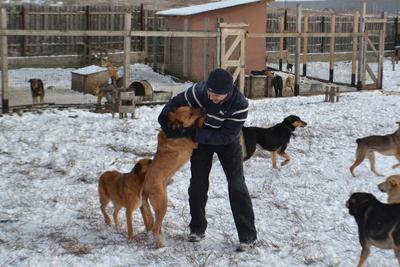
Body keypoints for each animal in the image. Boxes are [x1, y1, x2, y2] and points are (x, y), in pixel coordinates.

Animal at [142, 107, 205, 249]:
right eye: (191, 113)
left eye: (192, 107)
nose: (203, 108)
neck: (176, 129)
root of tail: (144, 189)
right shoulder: (194, 142)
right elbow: (198, 126)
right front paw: (203, 119)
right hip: (162, 204)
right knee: (155, 228)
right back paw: (161, 245)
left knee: (157, 227)